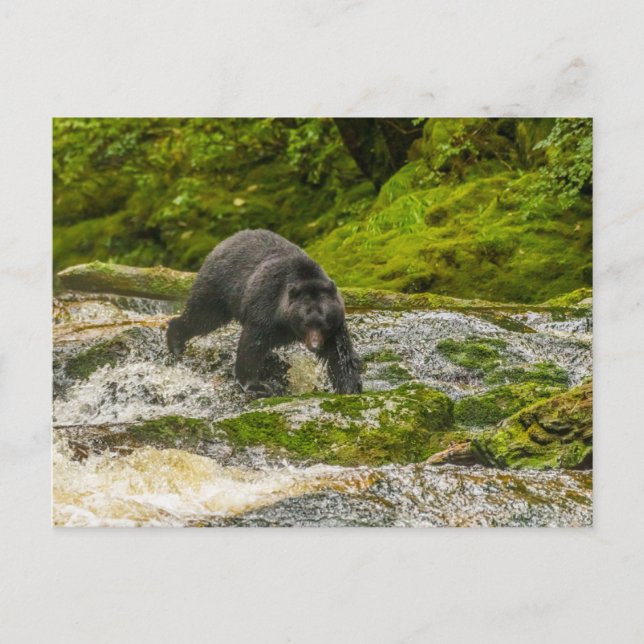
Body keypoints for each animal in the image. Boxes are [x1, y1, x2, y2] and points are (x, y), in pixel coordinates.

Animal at [167, 229, 362, 396]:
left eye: (323, 323)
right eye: (305, 323)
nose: (315, 346)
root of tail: (224, 242)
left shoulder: (336, 326)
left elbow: (340, 354)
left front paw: (350, 387)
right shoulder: (266, 305)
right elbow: (252, 344)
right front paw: (256, 385)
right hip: (219, 287)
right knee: (201, 316)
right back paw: (175, 342)